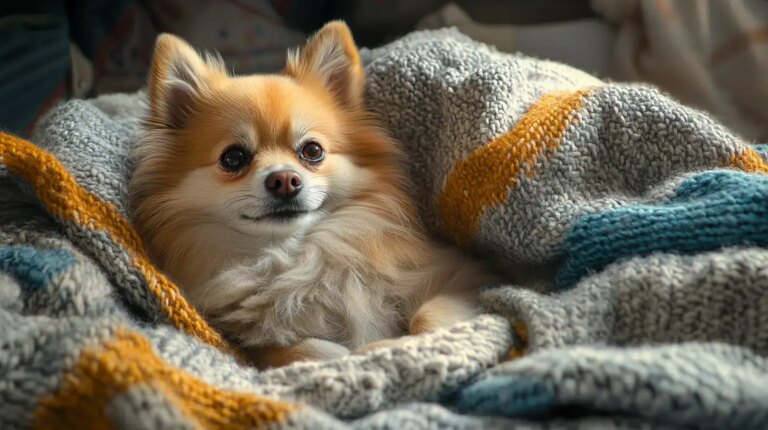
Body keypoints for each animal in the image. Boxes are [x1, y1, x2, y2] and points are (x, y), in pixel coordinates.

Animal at [130, 21, 496, 368]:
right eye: (233, 158)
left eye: (312, 151)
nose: (284, 180)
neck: (295, 257)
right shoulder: (250, 344)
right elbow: (303, 350)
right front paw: (359, 353)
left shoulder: (460, 276)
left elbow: (427, 316)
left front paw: (404, 344)